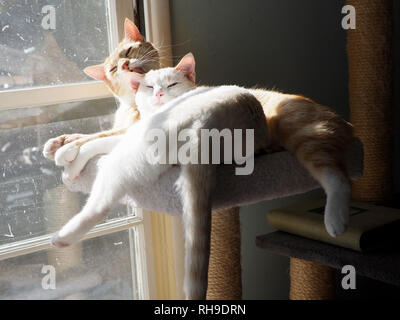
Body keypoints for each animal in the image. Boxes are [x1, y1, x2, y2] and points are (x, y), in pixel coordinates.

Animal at [49, 53, 268, 300]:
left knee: (100, 205)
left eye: (171, 84)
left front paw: (67, 159)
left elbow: (92, 142)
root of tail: (208, 122)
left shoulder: (132, 131)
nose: (159, 93)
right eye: (149, 86)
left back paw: (62, 237)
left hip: (130, 153)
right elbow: (95, 139)